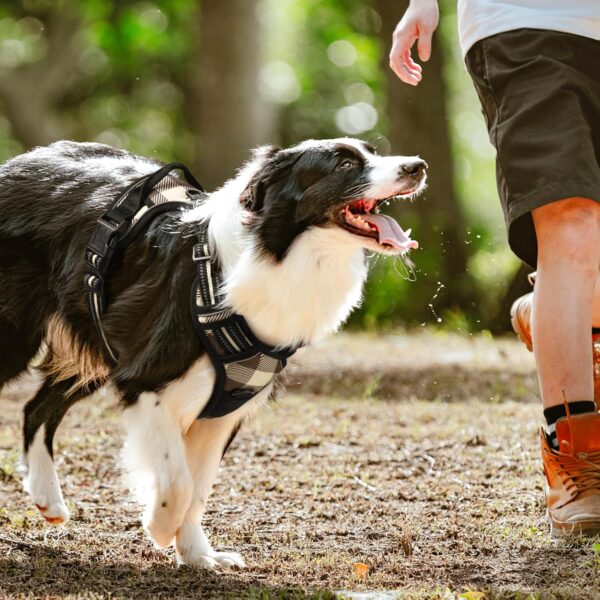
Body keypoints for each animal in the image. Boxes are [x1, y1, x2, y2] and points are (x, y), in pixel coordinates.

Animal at [0, 138, 426, 568]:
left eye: (373, 151)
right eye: (344, 164)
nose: (418, 166)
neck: (273, 253)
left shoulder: (223, 409)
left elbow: (199, 488)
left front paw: (197, 555)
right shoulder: (146, 380)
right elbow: (179, 482)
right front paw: (159, 525)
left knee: (36, 408)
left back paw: (48, 499)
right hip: (17, 339)